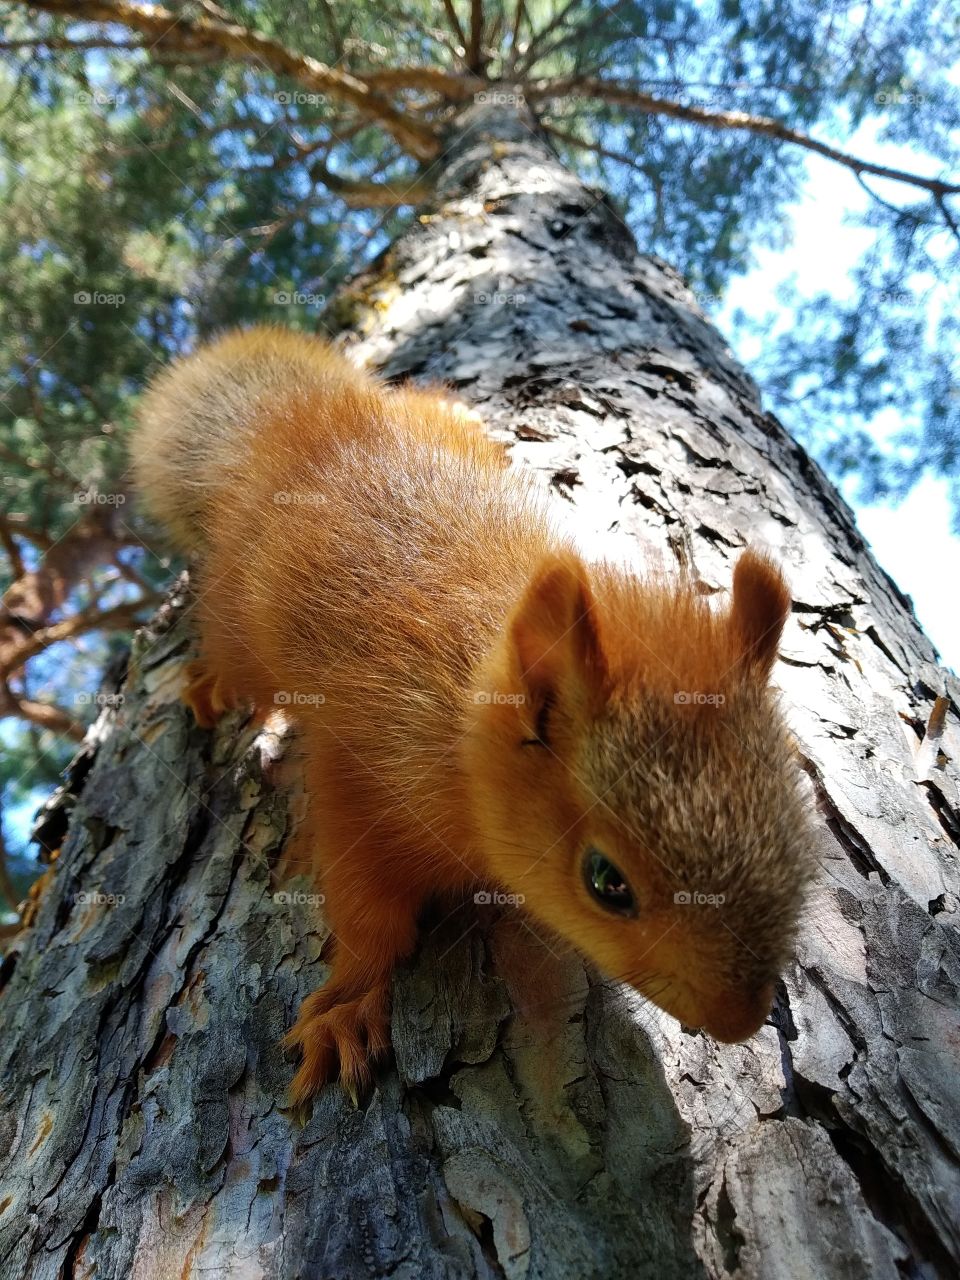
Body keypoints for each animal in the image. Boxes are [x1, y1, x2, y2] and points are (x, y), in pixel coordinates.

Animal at [131, 325, 816, 1104]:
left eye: (799, 840)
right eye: (607, 883)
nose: (740, 1022)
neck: (461, 713)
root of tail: (298, 422)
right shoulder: (361, 785)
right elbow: (366, 914)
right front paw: (347, 1003)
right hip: (238, 619)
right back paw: (213, 681)